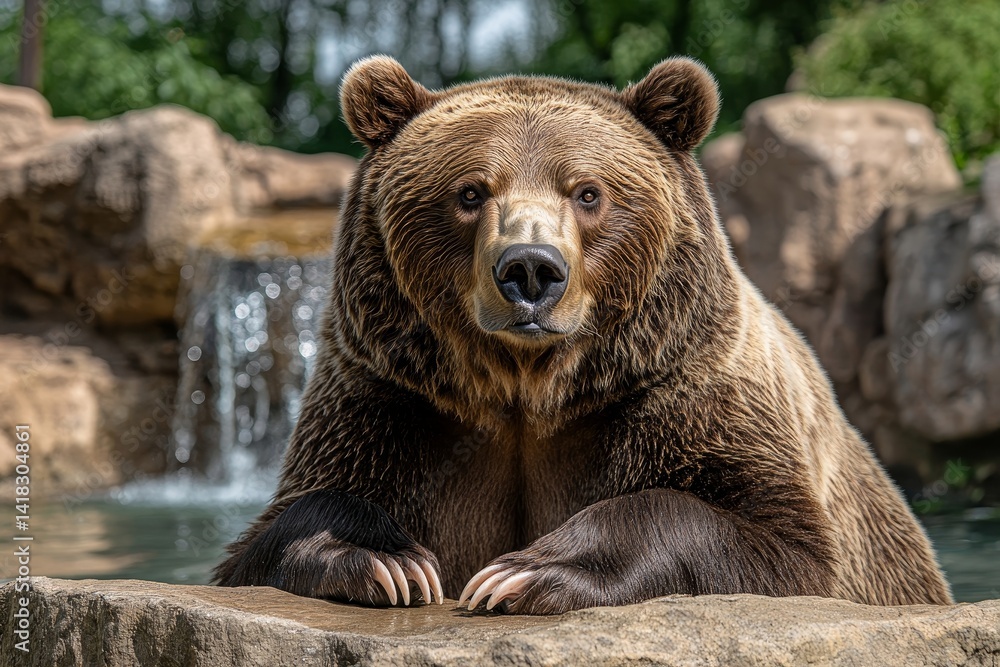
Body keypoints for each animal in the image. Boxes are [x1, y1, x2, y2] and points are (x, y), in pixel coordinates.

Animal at [214, 55, 952, 614]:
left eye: (588, 192)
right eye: (470, 192)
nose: (530, 270)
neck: (525, 389)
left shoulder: (685, 397)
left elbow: (781, 548)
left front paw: (521, 572)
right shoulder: (392, 402)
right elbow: (269, 538)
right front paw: (388, 559)